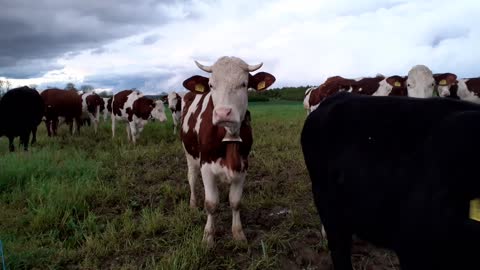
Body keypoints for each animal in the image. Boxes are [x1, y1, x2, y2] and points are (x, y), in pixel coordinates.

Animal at [181, 56, 278, 247]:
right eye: (211, 85)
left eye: (244, 84)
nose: (223, 113)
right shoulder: (206, 166)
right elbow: (211, 203)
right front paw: (208, 237)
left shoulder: (243, 166)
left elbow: (235, 202)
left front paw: (238, 234)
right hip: (189, 155)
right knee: (192, 178)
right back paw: (193, 204)